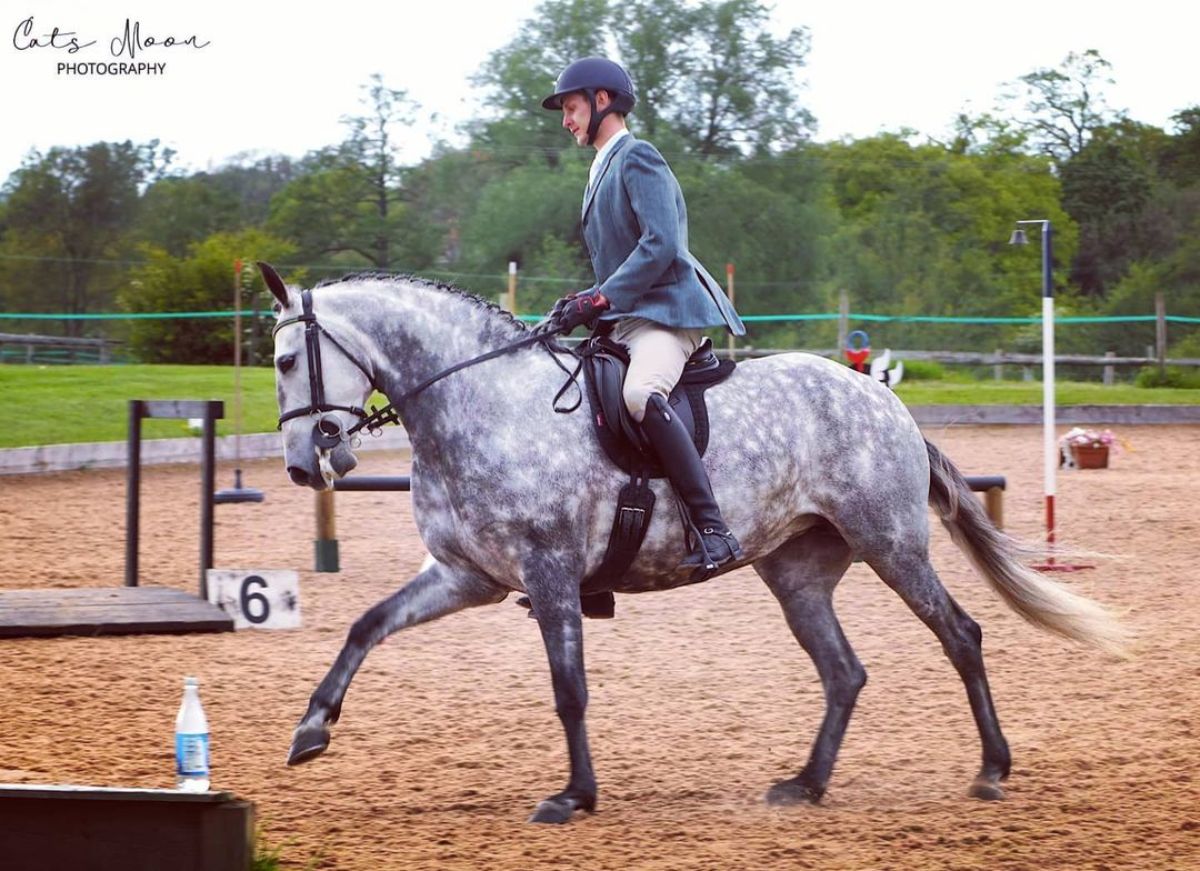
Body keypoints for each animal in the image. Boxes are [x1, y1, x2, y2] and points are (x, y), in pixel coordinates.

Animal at [260, 262, 1123, 820]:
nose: (305, 463)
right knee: (844, 671)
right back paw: (805, 783)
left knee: (960, 634)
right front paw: (310, 731)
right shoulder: (465, 574)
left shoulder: (548, 572)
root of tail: (881, 397)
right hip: (797, 571)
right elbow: (367, 624)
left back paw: (991, 769)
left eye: (289, 358)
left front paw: (574, 795)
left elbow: (568, 688)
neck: (478, 401)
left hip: (891, 542)